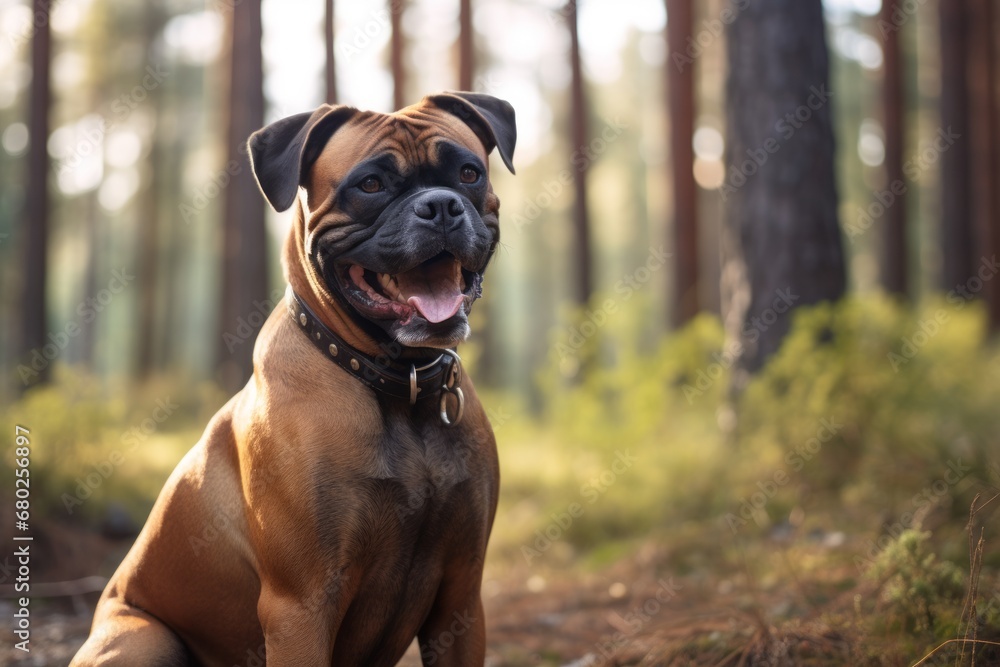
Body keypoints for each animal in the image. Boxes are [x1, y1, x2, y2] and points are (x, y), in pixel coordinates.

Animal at [72, 91, 516, 664]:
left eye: (467, 173)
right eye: (370, 184)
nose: (440, 205)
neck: (402, 383)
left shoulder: (460, 599)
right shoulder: (300, 606)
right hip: (143, 641)